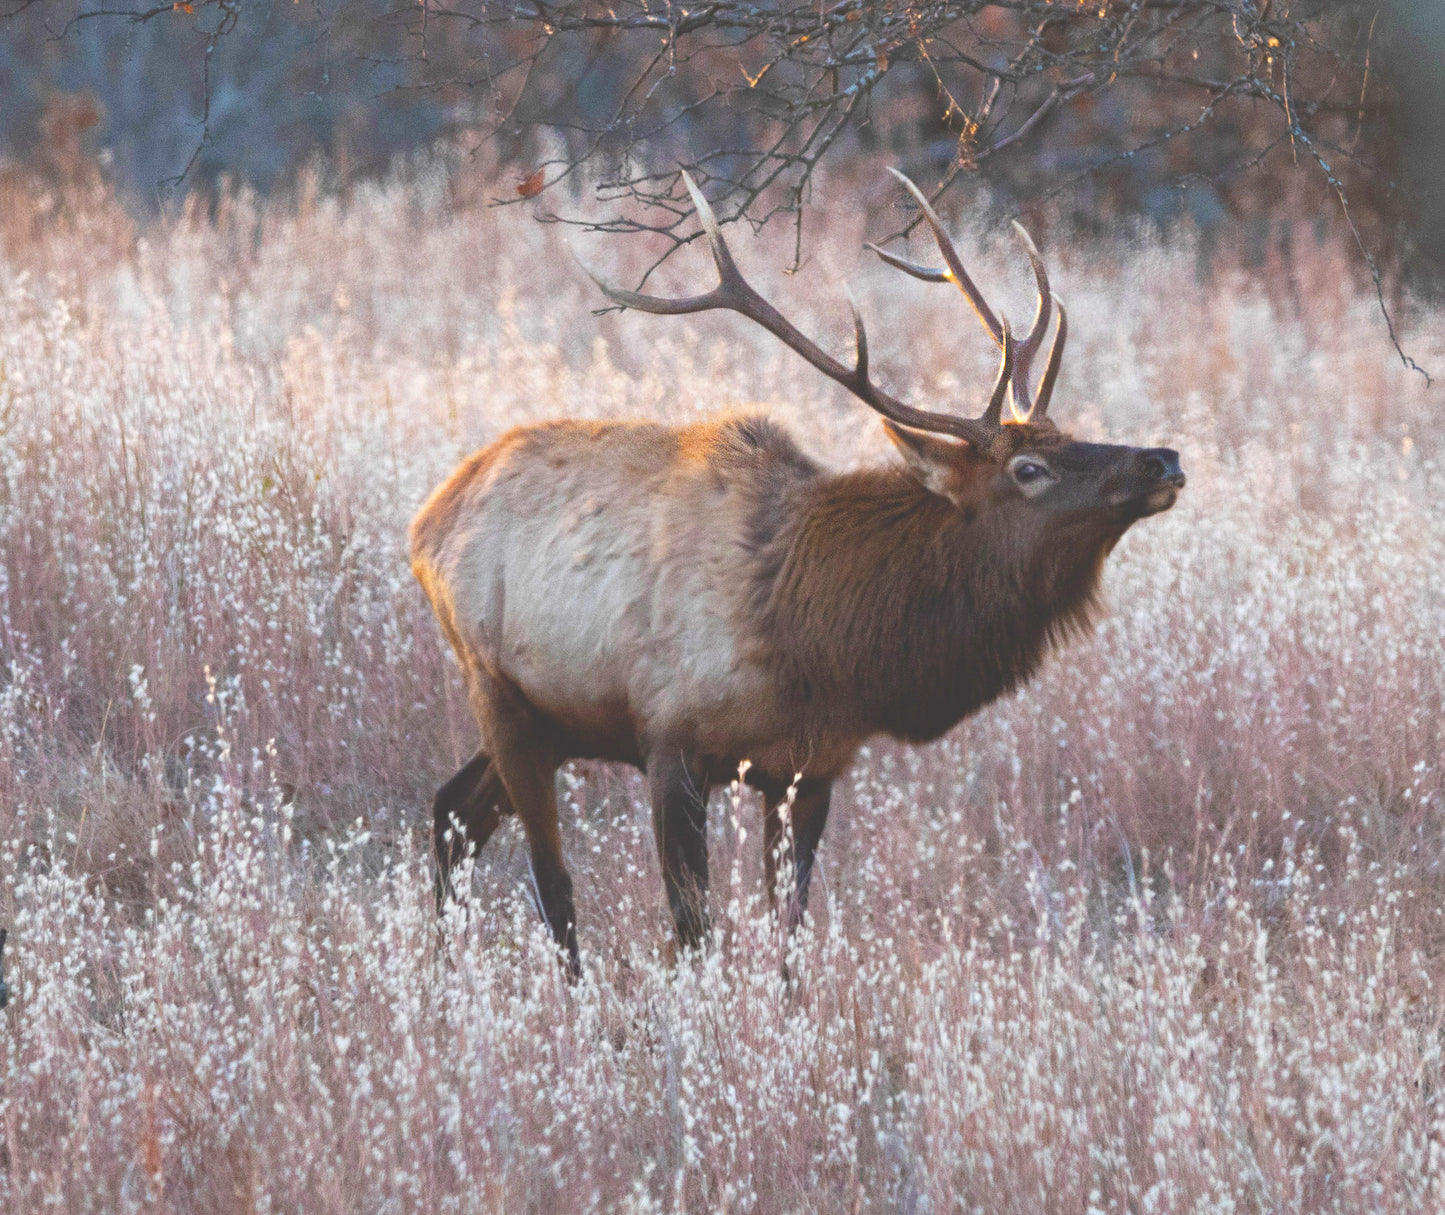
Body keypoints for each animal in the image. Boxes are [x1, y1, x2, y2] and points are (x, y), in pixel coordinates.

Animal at [410, 170, 1185, 976]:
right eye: (1027, 468)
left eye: (1068, 435)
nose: (1161, 459)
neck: (814, 644)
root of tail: (427, 521)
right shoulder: (669, 740)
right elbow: (693, 928)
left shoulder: (809, 768)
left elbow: (791, 932)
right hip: (494, 686)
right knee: (548, 878)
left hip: (554, 719)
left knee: (453, 809)